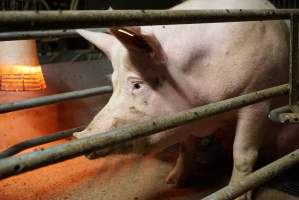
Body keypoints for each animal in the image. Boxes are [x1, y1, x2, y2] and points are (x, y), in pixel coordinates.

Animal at [74, 0, 292, 199]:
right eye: (113, 83)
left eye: (137, 85)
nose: (80, 136)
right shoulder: (187, 116)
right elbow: (185, 147)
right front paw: (173, 182)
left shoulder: (258, 97)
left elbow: (243, 154)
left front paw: (238, 194)